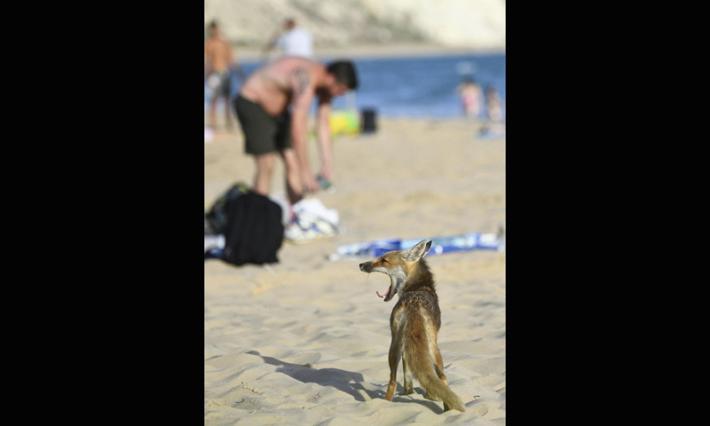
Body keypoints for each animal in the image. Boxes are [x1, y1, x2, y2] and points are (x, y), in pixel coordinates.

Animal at [359, 240, 466, 412]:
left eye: (384, 260)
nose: (361, 264)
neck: (417, 288)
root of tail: (413, 305)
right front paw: (429, 396)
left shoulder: (405, 345)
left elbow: (408, 374)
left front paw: (410, 393)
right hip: (432, 347)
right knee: (441, 377)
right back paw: (447, 409)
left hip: (396, 344)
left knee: (394, 380)